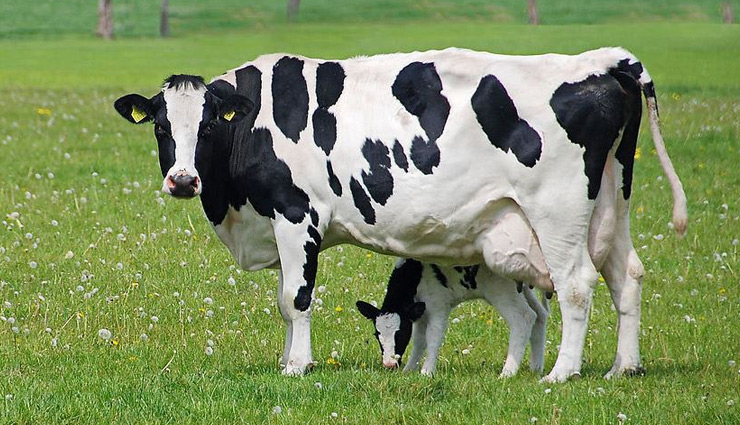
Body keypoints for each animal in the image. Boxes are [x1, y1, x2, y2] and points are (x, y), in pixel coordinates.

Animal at [356, 258, 550, 377]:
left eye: (401, 333)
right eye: (377, 335)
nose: (389, 364)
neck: (416, 273)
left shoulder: (438, 306)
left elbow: (433, 337)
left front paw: (427, 372)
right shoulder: (420, 312)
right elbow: (419, 340)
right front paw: (410, 370)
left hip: (501, 290)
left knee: (524, 317)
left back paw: (507, 372)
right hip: (523, 290)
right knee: (540, 315)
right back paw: (536, 368)